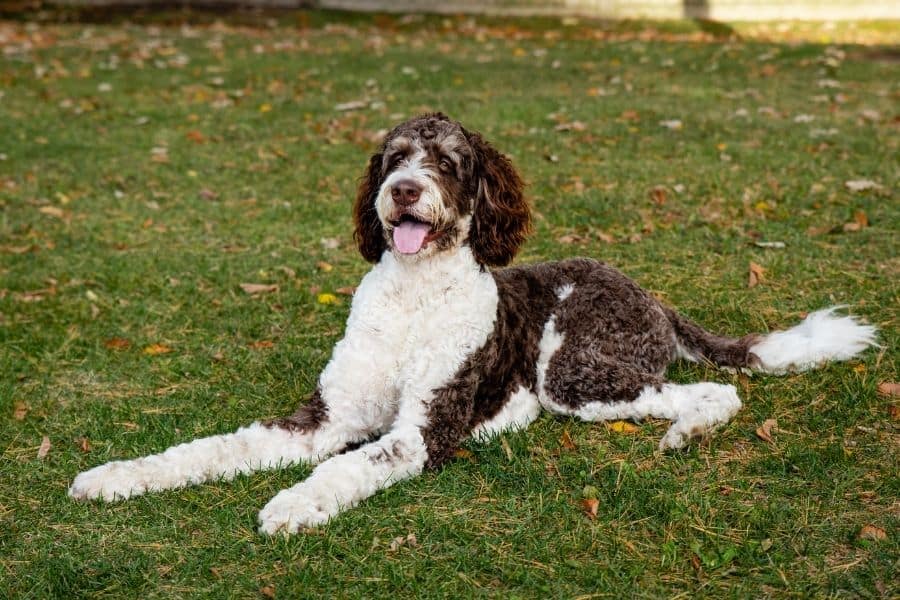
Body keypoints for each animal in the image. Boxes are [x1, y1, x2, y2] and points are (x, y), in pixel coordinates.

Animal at [72, 113, 880, 536]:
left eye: (450, 163)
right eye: (395, 158)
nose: (402, 191)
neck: (412, 299)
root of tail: (646, 292)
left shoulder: (422, 430)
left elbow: (346, 467)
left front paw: (294, 503)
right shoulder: (324, 417)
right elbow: (212, 448)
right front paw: (118, 476)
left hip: (575, 375)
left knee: (709, 393)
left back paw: (684, 432)